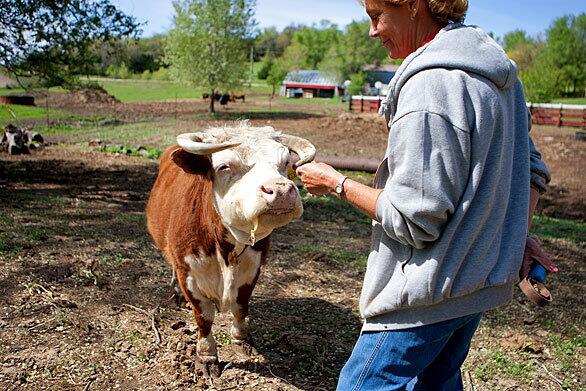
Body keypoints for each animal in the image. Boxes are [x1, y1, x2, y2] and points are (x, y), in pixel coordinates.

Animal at [146, 122, 314, 376]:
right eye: (224, 166)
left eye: (285, 163)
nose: (281, 190)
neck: (227, 250)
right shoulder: (189, 274)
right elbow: (204, 317)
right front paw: (206, 356)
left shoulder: (252, 270)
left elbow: (241, 307)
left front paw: (242, 340)